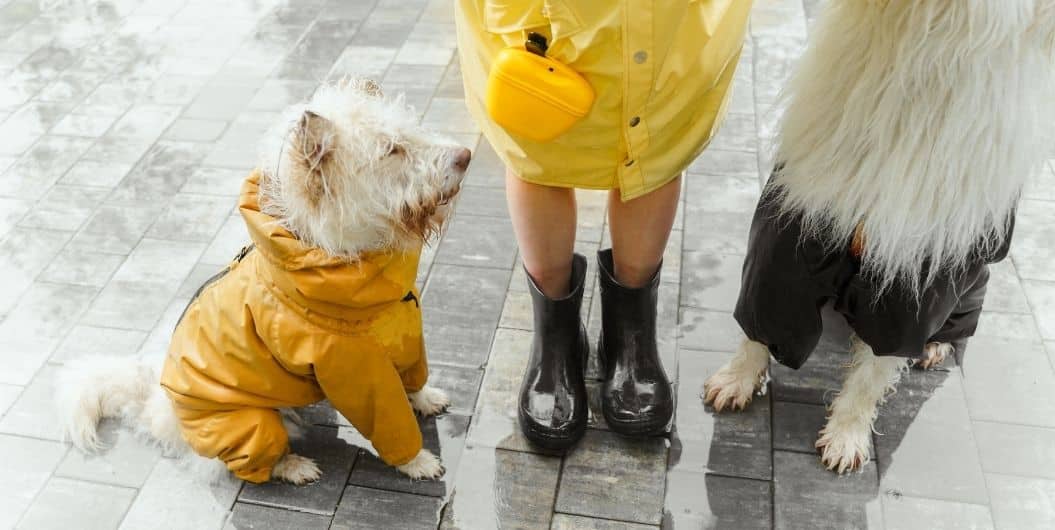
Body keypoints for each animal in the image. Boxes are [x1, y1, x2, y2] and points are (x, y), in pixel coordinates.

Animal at [54, 78, 470, 483]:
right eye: (392, 150)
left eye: (413, 131)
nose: (466, 156)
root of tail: (153, 398)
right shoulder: (358, 374)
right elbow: (389, 420)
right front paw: (417, 462)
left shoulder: (405, 334)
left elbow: (413, 377)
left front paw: (426, 399)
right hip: (245, 423)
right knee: (247, 460)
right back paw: (293, 466)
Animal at [700, 0, 1055, 472]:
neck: (922, 49)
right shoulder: (797, 231)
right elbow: (764, 320)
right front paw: (736, 380)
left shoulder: (917, 276)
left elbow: (875, 369)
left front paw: (846, 435)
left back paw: (935, 347)